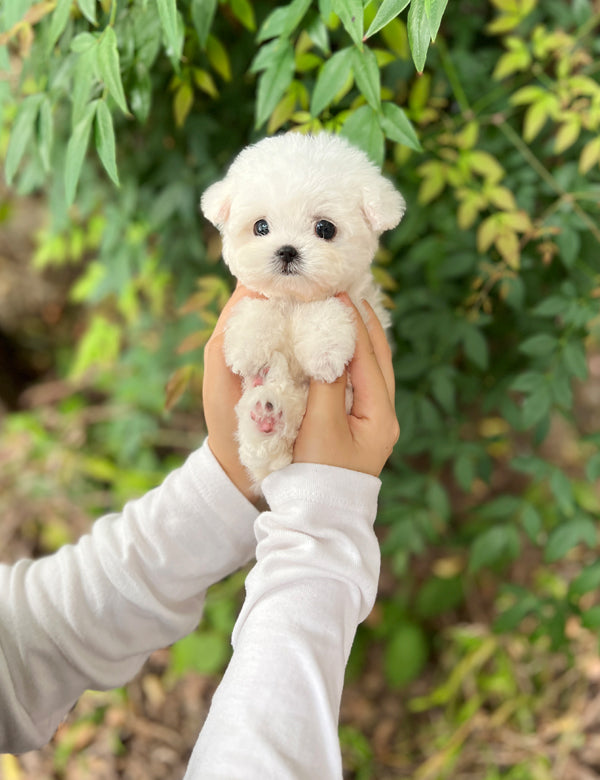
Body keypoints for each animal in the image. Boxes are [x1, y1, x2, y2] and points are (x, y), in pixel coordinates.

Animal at [204, 133, 406, 488]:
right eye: (261, 227)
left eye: (325, 228)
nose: (287, 251)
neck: (295, 300)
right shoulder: (258, 297)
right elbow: (256, 310)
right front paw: (247, 348)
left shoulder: (355, 305)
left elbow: (327, 311)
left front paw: (324, 354)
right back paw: (265, 419)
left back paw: (271, 415)